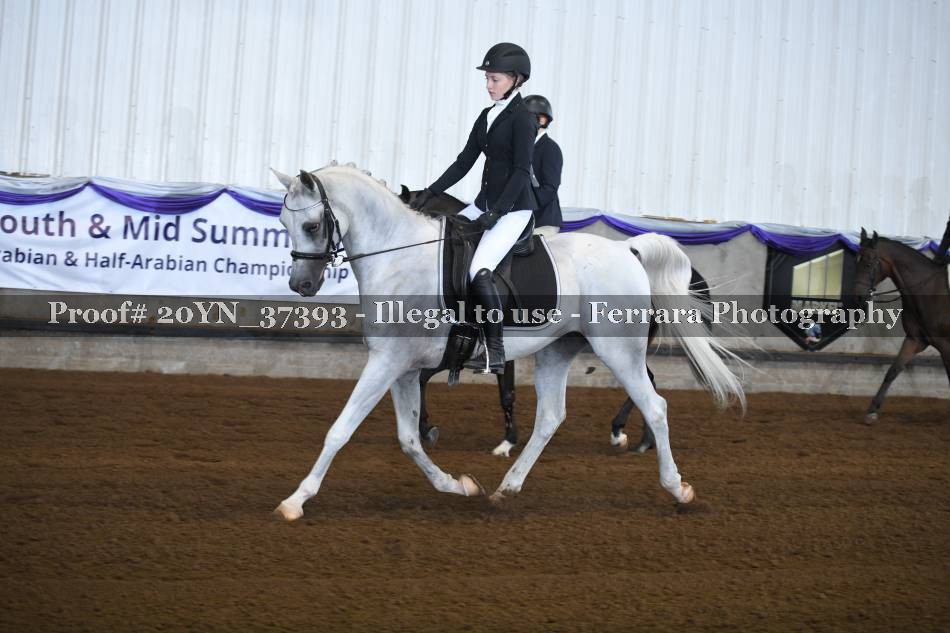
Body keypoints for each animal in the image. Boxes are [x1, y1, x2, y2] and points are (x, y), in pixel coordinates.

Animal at [398, 185, 712, 457]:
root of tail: (630, 253)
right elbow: (435, 379)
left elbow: (498, 391)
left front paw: (504, 441)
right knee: (648, 380)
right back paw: (642, 439)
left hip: (619, 343)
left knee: (646, 380)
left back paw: (625, 434)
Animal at [852, 229, 950, 423]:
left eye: (869, 263)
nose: (857, 298)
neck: (931, 293)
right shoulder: (915, 340)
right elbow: (893, 370)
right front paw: (872, 411)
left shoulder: (946, 345)